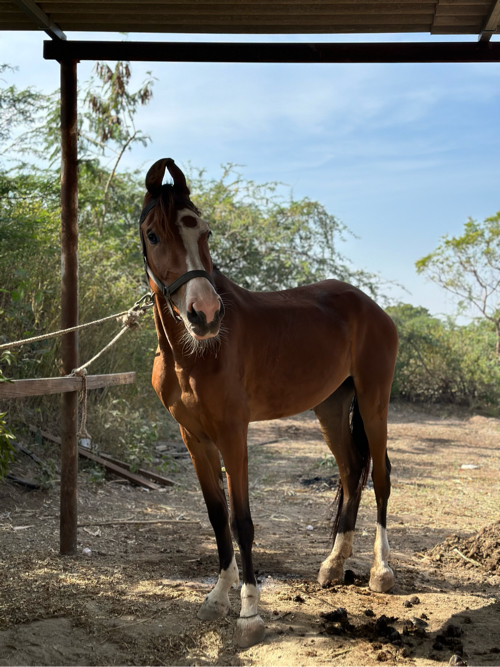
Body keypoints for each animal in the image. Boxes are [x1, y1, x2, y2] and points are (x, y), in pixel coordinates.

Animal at [140, 157, 398, 648]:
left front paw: (249, 615)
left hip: (374, 404)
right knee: (351, 470)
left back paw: (381, 570)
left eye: (204, 232)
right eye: (153, 235)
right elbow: (217, 516)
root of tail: (371, 307)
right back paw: (333, 565)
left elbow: (242, 521)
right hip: (330, 409)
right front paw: (217, 598)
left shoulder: (232, 434)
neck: (194, 352)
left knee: (381, 476)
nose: (205, 315)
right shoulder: (193, 438)